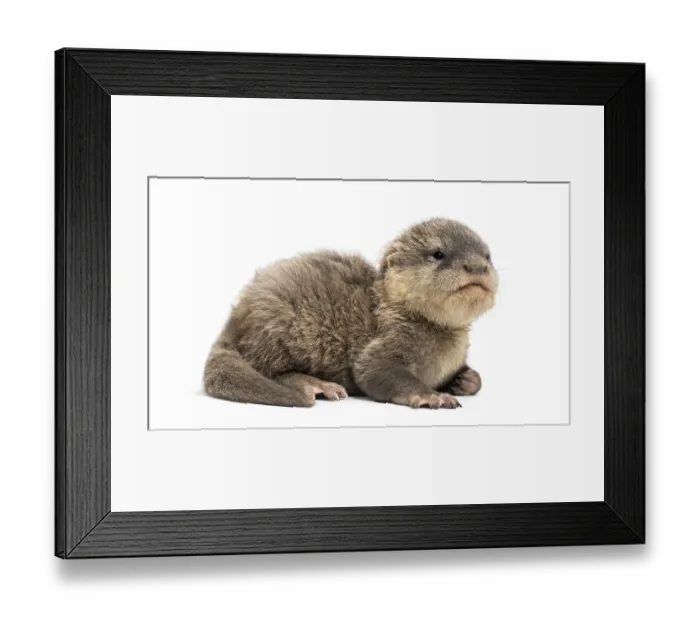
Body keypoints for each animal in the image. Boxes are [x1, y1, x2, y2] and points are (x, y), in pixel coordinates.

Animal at [203, 218, 498, 409]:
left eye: (487, 255)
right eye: (438, 253)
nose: (477, 267)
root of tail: (235, 320)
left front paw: (466, 380)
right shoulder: (383, 344)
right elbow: (374, 371)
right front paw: (431, 396)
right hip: (278, 325)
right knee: (268, 368)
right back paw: (316, 386)